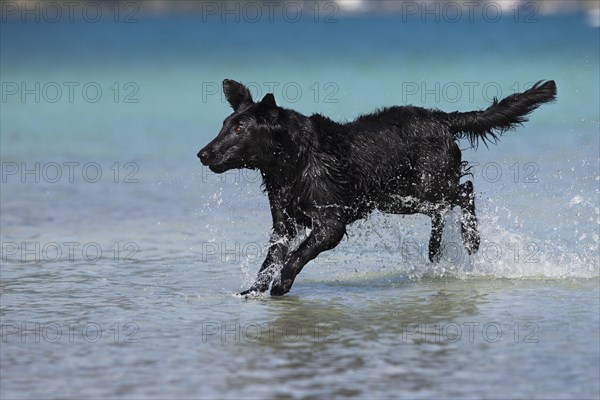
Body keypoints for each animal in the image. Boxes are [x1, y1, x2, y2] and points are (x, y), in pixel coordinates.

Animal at [199, 79, 556, 296]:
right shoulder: (284, 223)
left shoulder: (331, 225)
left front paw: (282, 283)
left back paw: (471, 239)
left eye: (240, 128)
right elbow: (271, 258)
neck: (294, 161)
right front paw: (251, 291)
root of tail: (442, 118)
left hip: (425, 185)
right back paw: (434, 249)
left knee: (464, 191)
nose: (203, 154)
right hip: (399, 197)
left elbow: (297, 255)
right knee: (443, 209)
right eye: (224, 125)